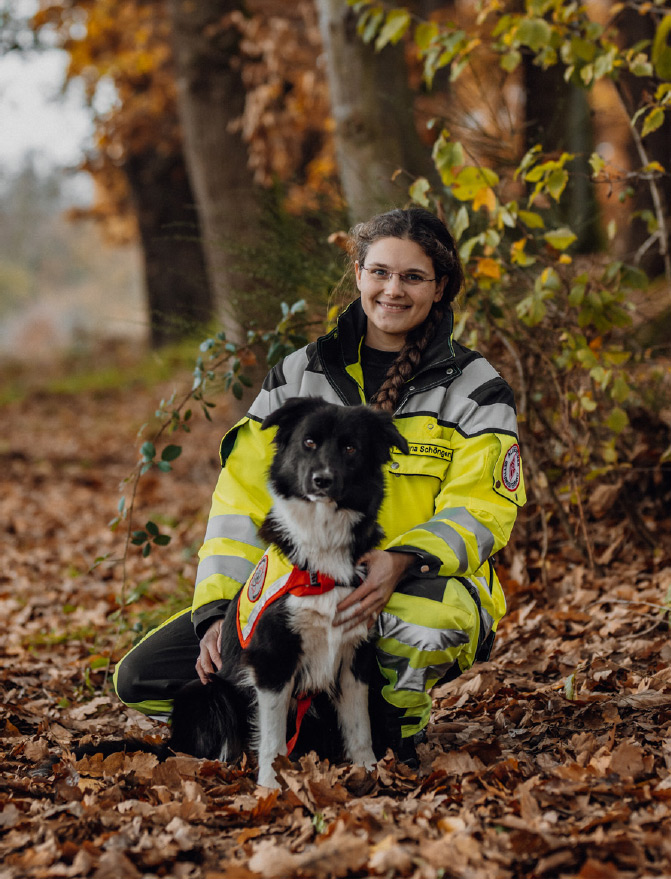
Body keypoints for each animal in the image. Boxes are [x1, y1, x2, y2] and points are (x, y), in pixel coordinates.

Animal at [168, 396, 410, 788]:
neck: (320, 553)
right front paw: (270, 786)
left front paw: (369, 770)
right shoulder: (271, 661)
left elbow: (359, 727)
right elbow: (273, 739)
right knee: (224, 747)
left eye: (350, 448)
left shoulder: (354, 655)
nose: (322, 480)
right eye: (308, 442)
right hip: (205, 691)